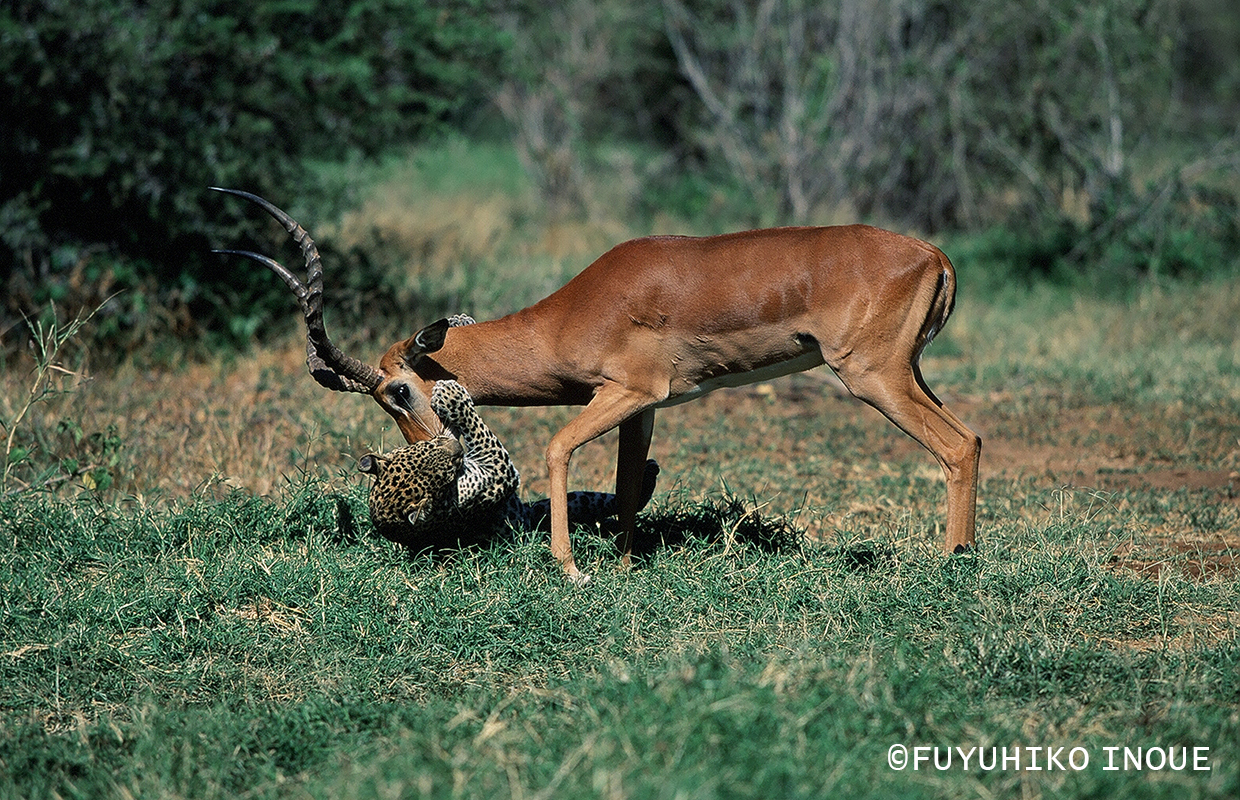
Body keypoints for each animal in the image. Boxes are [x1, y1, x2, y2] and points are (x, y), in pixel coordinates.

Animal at [212, 187, 980, 583]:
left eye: (397, 392)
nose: (439, 456)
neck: (575, 310)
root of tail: (933, 254)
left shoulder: (625, 392)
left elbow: (558, 449)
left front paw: (571, 569)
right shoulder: (644, 406)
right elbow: (626, 479)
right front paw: (624, 563)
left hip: (871, 376)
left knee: (956, 447)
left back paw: (952, 563)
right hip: (908, 373)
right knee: (969, 437)